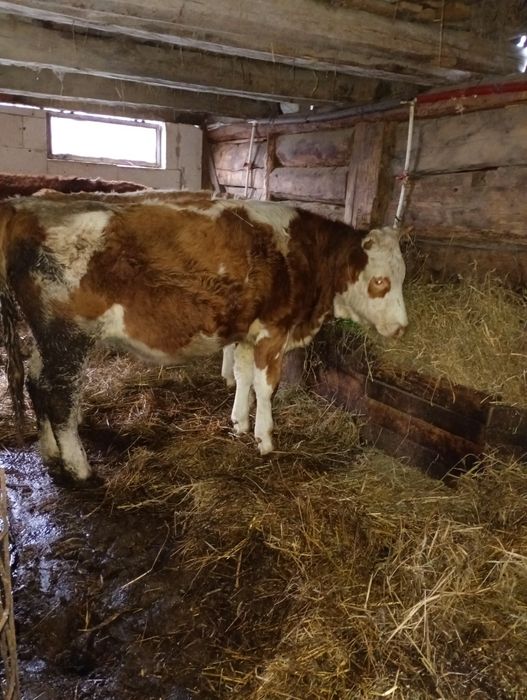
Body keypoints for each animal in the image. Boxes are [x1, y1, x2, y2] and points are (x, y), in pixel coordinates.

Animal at [0, 192, 407, 483]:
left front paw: (239, 423)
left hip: (45, 335)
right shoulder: (273, 331)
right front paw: (265, 439)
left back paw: (50, 452)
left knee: (37, 382)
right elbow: (266, 386)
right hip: (68, 336)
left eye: (403, 276)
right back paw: (80, 468)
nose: (403, 327)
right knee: (60, 397)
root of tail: (26, 206)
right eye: (380, 281)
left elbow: (243, 377)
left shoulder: (246, 332)